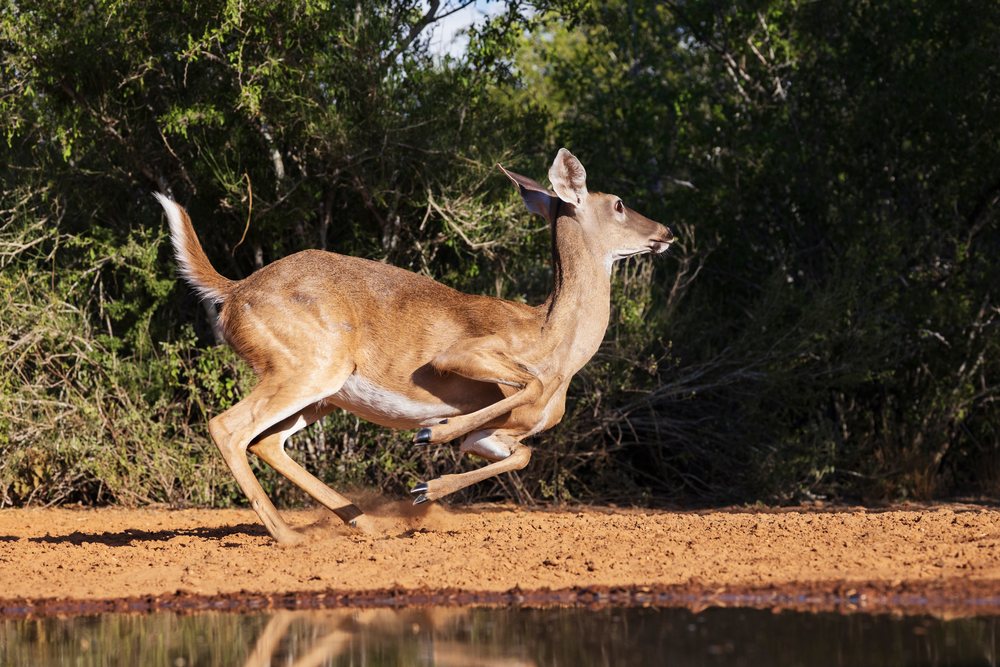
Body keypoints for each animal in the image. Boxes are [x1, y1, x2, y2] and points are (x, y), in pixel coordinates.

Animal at [154, 149, 673, 544]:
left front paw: (427, 486)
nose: (666, 232)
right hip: (311, 366)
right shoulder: (460, 355)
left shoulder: (498, 436)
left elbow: (524, 453)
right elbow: (525, 384)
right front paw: (433, 434)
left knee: (266, 441)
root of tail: (234, 292)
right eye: (619, 203)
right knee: (228, 426)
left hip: (323, 391)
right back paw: (291, 536)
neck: (554, 342)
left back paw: (364, 523)